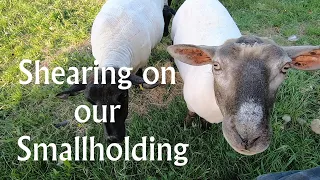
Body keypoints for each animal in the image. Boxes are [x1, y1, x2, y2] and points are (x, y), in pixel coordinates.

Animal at [56, 0, 174, 143]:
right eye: (90, 101)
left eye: (123, 96)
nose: (113, 138)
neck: (113, 49)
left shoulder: (141, 63)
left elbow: (139, 75)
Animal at [168, 0, 320, 155]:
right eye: (216, 65)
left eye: (285, 68)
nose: (248, 138)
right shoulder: (190, 104)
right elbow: (190, 115)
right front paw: (186, 126)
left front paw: (204, 127)